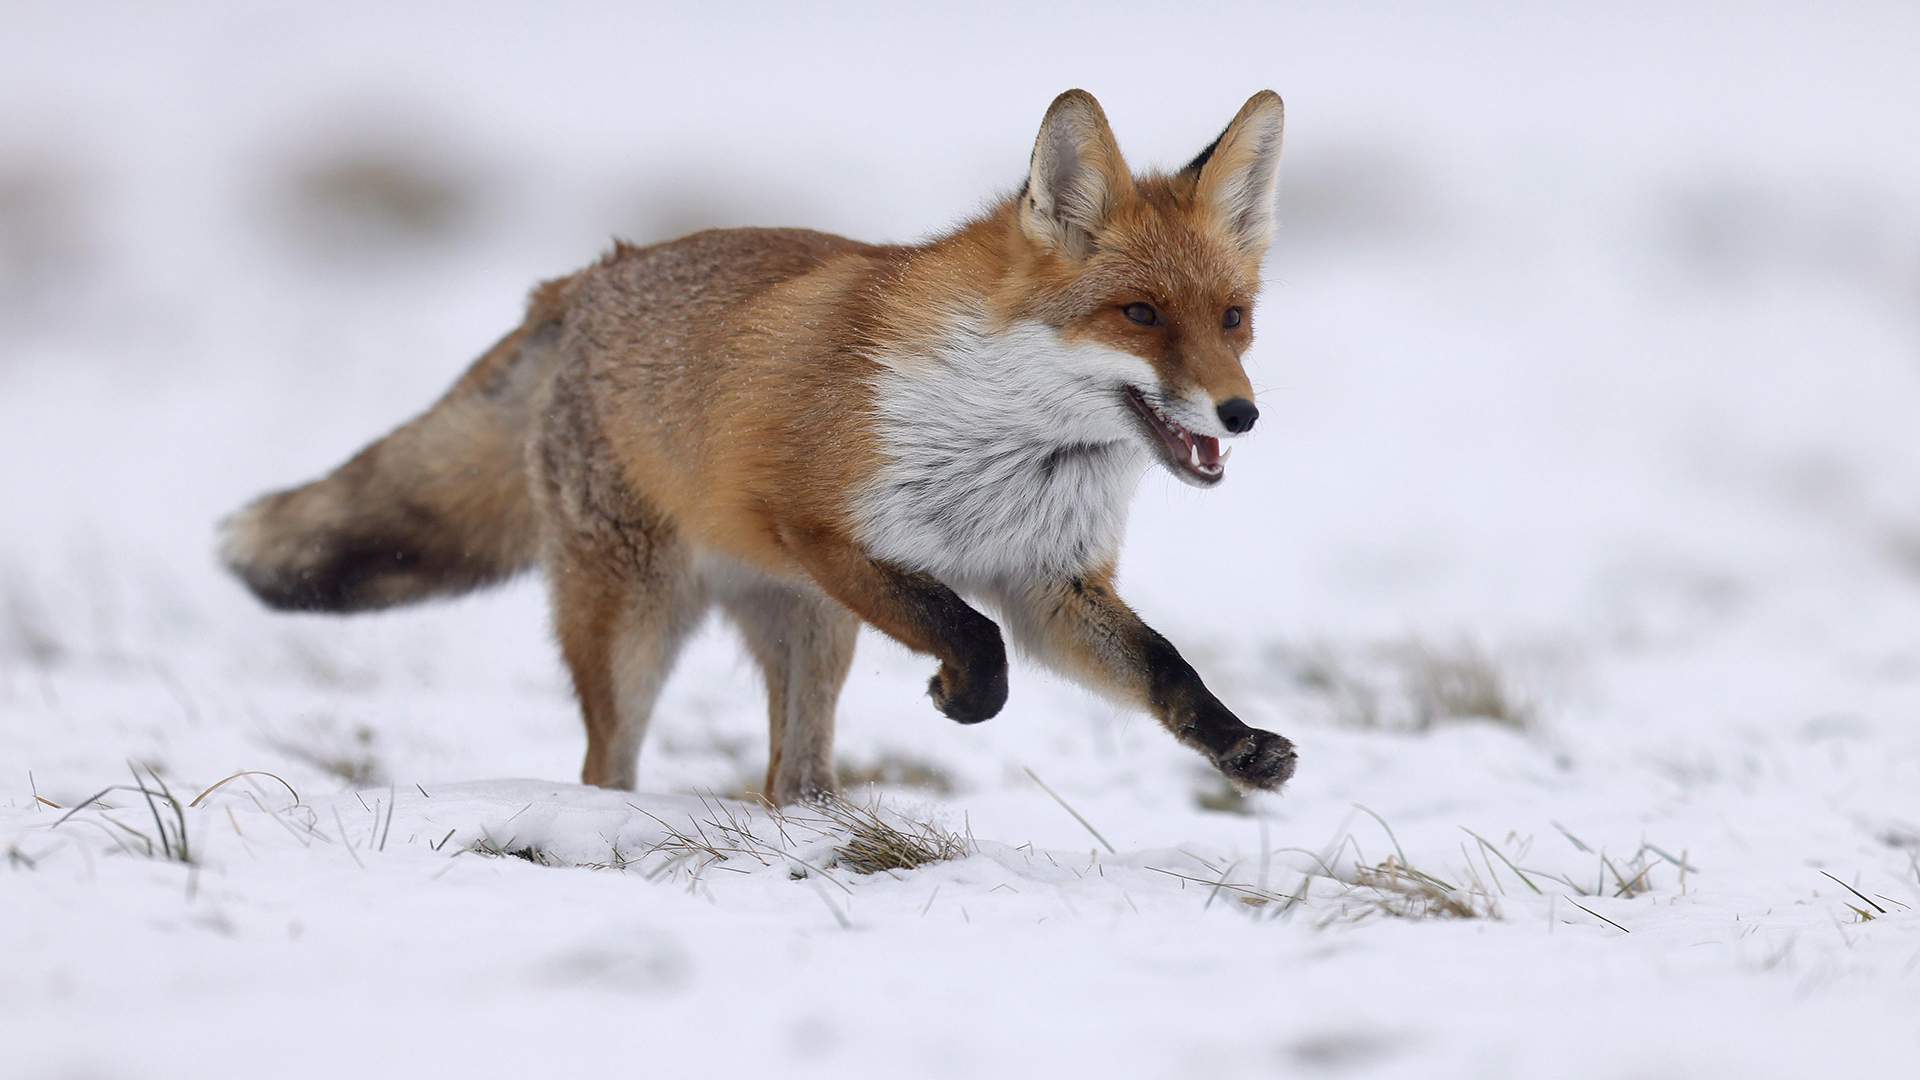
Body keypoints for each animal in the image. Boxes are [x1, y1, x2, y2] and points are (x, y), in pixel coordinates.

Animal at [228, 90, 1305, 799]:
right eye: (1140, 315)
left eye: (1234, 319)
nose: (1240, 414)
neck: (1009, 447)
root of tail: (581, 281)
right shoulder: (823, 531)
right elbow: (972, 632)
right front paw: (965, 694)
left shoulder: (1050, 582)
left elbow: (1165, 666)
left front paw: (1239, 746)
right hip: (644, 619)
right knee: (608, 761)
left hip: (811, 630)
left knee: (794, 774)